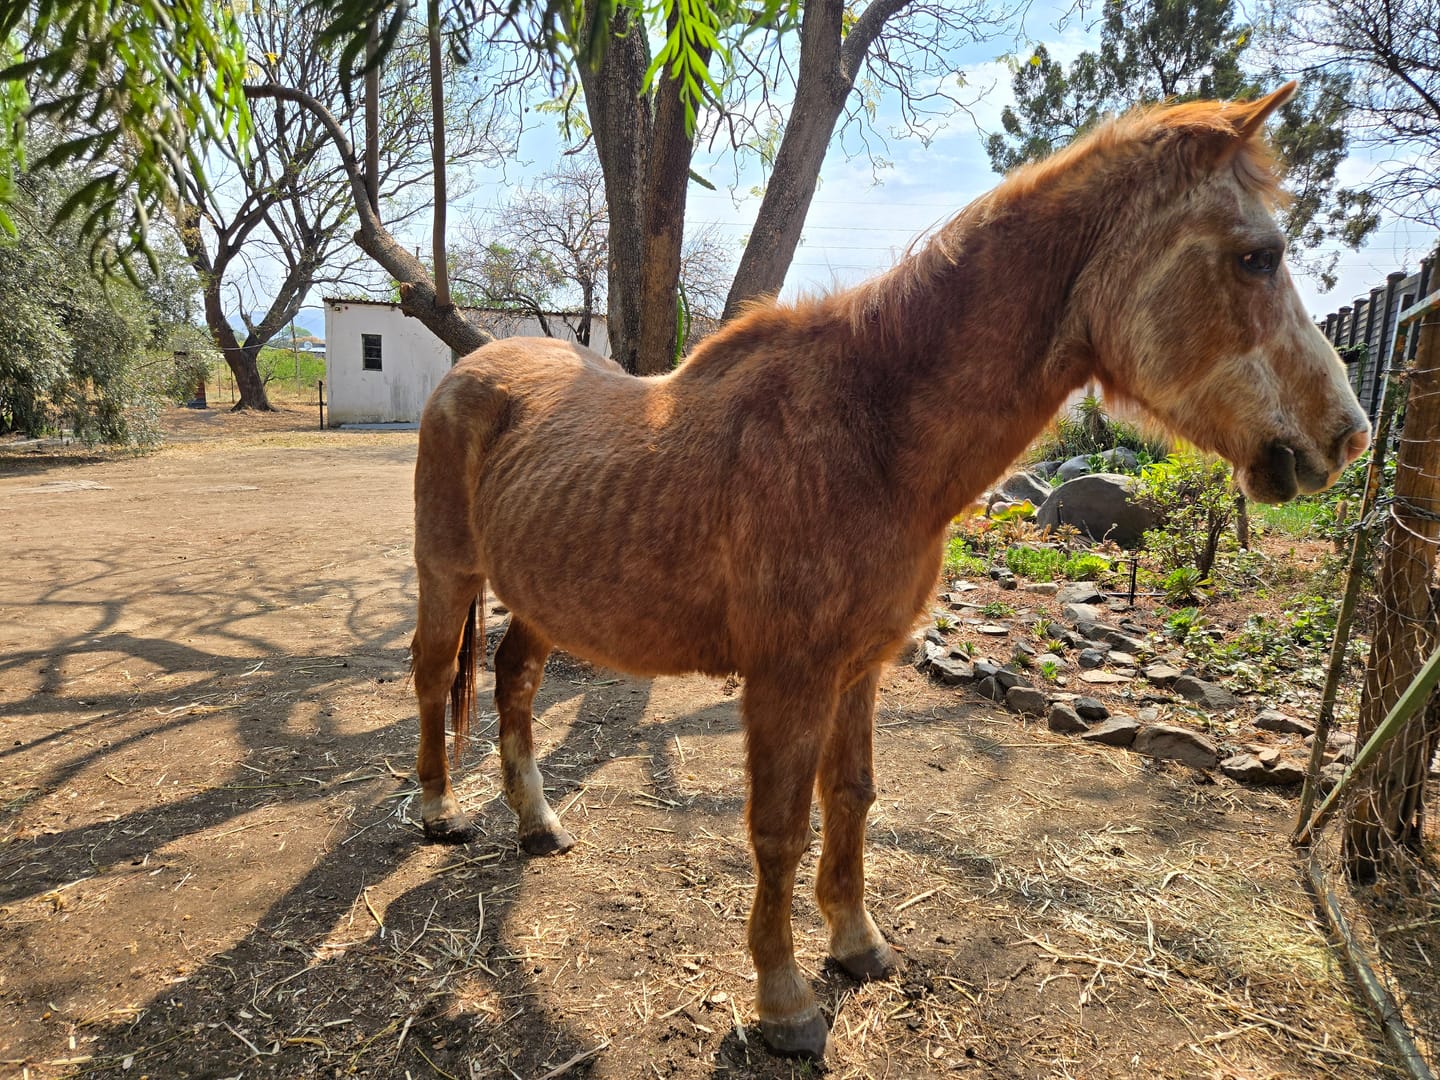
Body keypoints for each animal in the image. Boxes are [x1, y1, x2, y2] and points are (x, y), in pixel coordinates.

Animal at [408, 83, 1369, 1060]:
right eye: (1257, 257)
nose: (1347, 436)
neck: (870, 434)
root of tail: (473, 367)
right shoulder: (788, 677)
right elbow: (779, 827)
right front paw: (785, 997)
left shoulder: (858, 667)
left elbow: (852, 797)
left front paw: (857, 942)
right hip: (447, 576)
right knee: (433, 674)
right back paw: (442, 811)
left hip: (542, 598)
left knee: (514, 682)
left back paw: (538, 824)